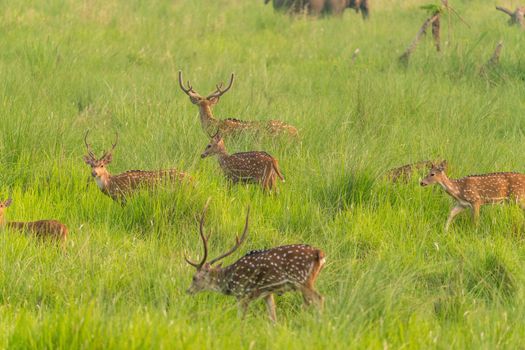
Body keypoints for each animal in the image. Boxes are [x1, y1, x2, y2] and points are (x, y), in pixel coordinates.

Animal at [184, 200, 324, 322]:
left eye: (194, 277)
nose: (188, 291)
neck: (230, 281)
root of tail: (320, 254)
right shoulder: (268, 293)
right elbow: (273, 318)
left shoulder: (243, 294)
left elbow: (242, 318)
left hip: (302, 280)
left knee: (319, 299)